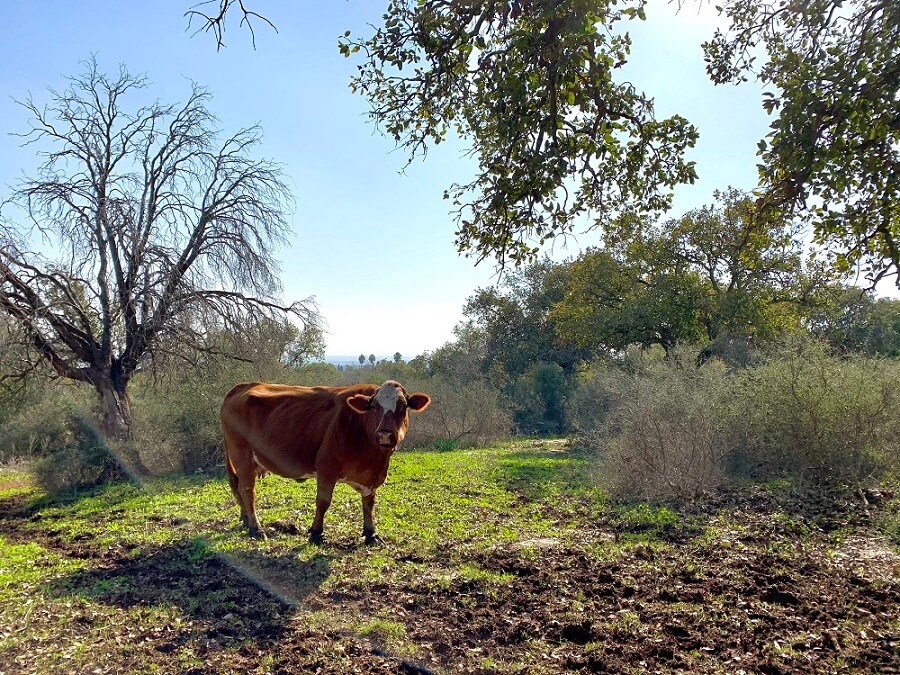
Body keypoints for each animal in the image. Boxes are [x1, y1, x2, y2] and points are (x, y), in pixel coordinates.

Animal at [218, 380, 428, 544]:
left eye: (402, 406)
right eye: (374, 407)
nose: (384, 434)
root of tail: (244, 386)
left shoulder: (371, 478)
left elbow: (369, 503)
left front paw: (371, 534)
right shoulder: (326, 467)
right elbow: (323, 502)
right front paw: (316, 533)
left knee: (237, 486)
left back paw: (246, 519)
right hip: (242, 454)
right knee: (248, 490)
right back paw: (256, 528)